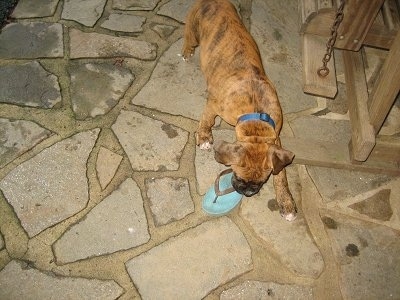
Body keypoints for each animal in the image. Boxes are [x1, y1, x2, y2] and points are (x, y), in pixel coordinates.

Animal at [181, 0, 296, 220]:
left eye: (261, 181)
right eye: (238, 176)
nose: (249, 192)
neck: (256, 113)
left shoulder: (276, 140)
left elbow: (282, 176)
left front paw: (286, 202)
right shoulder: (213, 104)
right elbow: (207, 120)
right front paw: (204, 137)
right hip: (193, 28)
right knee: (189, 37)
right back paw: (186, 51)